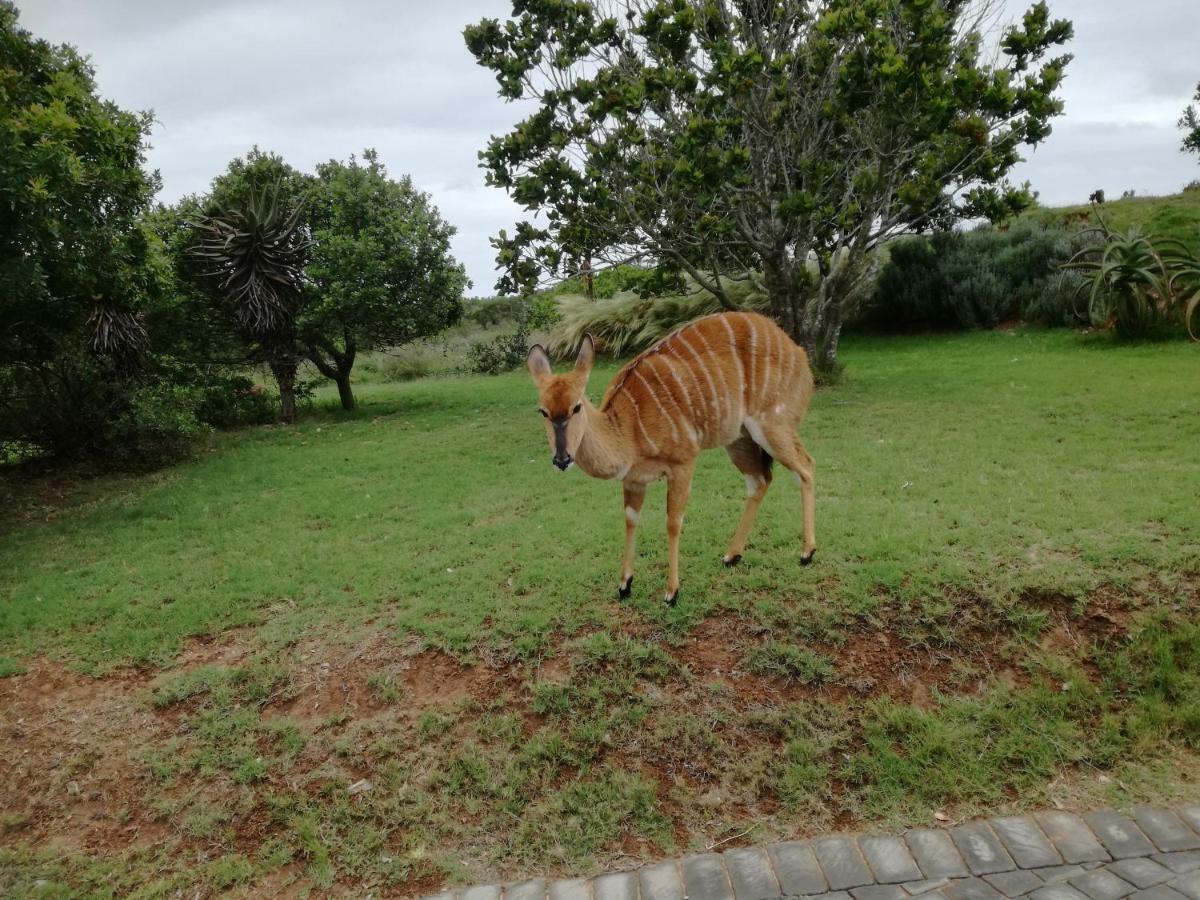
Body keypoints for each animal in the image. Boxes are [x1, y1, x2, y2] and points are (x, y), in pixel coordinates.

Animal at [525, 309, 816, 607]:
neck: (628, 428)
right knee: (760, 480)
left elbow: (673, 522)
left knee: (805, 467)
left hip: (773, 425)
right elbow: (630, 519)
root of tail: (797, 351)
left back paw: (807, 553)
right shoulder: (634, 480)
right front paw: (625, 585)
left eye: (576, 407)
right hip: (738, 438)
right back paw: (731, 555)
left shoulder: (683, 463)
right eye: (543, 411)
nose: (562, 459)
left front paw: (672, 592)